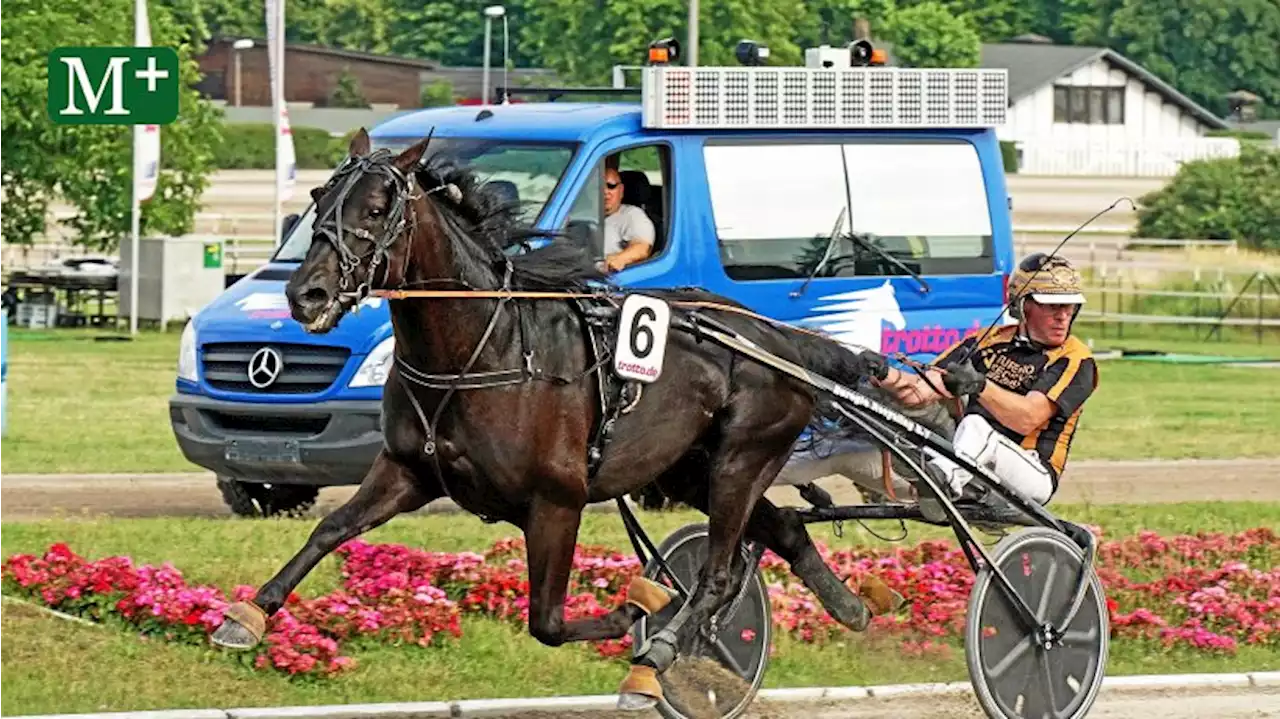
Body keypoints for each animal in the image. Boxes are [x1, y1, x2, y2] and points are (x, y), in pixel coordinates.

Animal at [209, 129, 906, 706]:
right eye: (320, 198)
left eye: (377, 209)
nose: (306, 294)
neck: (482, 347)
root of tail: (781, 339)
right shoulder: (409, 469)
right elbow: (330, 529)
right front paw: (248, 616)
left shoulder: (557, 501)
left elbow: (545, 622)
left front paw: (639, 609)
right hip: (690, 469)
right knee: (782, 525)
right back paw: (851, 607)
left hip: (742, 456)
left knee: (714, 575)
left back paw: (659, 653)